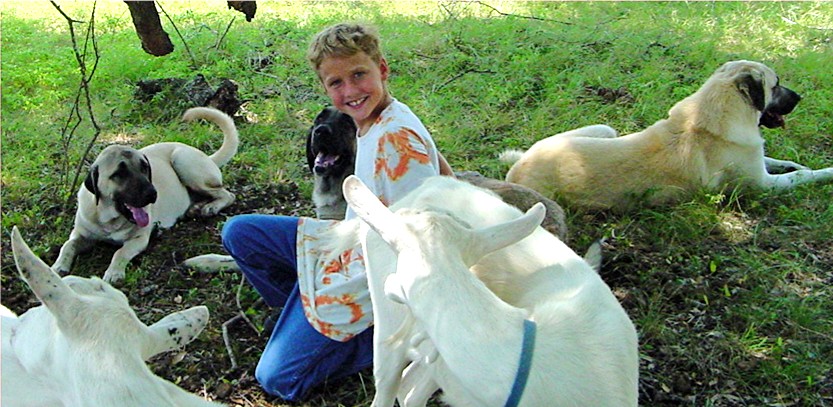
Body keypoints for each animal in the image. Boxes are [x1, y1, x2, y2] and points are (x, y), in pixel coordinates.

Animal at [500, 61, 832, 214]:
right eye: (776, 85)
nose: (800, 98)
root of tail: (517, 168)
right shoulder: (764, 186)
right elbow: (803, 177)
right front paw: (824, 172)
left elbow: (778, 160)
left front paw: (795, 163)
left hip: (605, 130)